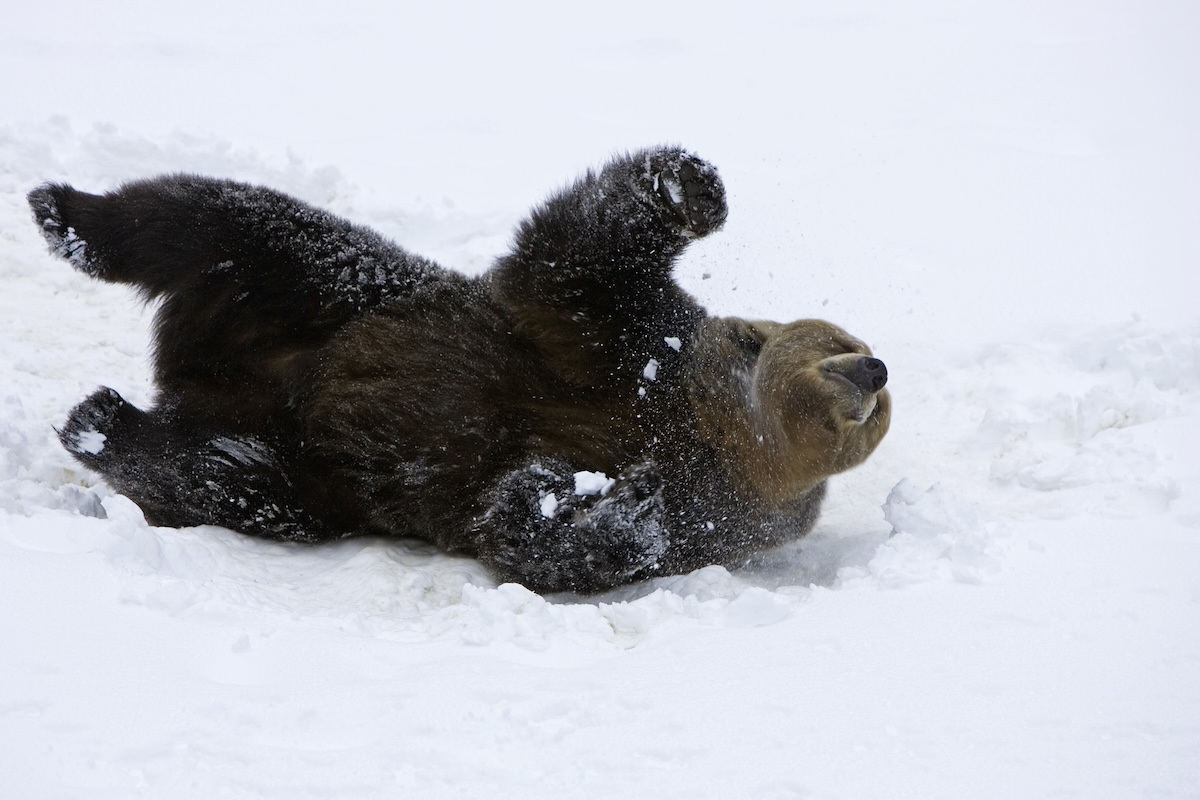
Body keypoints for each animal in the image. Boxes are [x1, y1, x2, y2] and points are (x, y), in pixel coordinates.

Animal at [29, 146, 891, 594]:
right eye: (833, 337)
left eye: (881, 416)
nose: (873, 368)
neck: (717, 431)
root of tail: (195, 369)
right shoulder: (635, 346)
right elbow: (577, 261)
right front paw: (689, 187)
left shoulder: (718, 511)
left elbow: (538, 527)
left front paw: (609, 504)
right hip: (329, 288)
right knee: (207, 216)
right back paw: (63, 209)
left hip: (304, 471)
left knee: (217, 474)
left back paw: (103, 422)